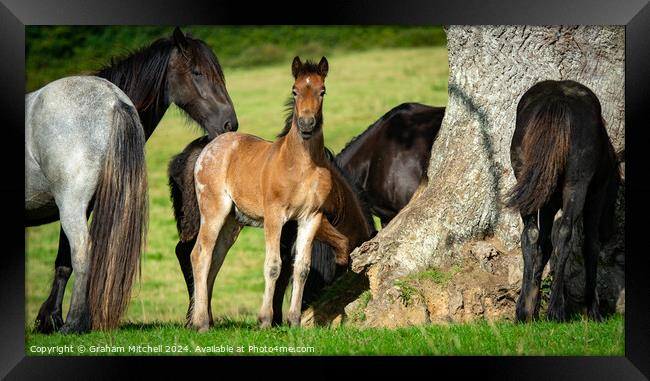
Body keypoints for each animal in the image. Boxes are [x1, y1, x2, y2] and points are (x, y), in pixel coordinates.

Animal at [27, 26, 237, 332]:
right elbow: (63, 260)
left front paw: (50, 318)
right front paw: (50, 318)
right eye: (197, 72)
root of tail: (113, 101)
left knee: (83, 251)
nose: (230, 124)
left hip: (71, 203)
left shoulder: (74, 203)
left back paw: (74, 322)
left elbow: (65, 258)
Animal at [185, 56, 372, 330]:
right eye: (295, 91)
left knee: (216, 259)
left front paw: (294, 320)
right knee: (200, 254)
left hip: (232, 220)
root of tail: (210, 147)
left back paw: (207, 318)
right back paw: (200, 323)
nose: (306, 125)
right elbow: (273, 266)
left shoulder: (311, 217)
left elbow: (301, 268)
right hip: (213, 210)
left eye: (322, 91)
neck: (301, 166)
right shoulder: (274, 217)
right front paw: (264, 320)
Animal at [504, 79, 620, 320]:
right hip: (576, 184)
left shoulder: (547, 204)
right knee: (566, 232)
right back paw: (555, 309)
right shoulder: (596, 197)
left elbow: (544, 245)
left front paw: (533, 304)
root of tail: (558, 99)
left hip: (528, 184)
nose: (610, 230)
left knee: (530, 234)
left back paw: (523, 311)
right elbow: (590, 245)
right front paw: (593, 309)